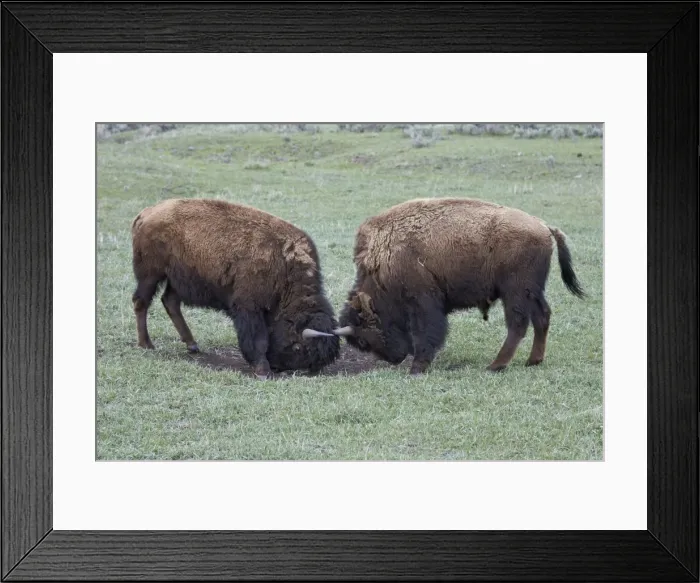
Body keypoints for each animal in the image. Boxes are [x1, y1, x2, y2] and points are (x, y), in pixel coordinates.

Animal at [131, 198, 341, 379]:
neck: (285, 266)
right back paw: (146, 344)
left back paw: (192, 345)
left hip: (179, 279)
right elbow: (258, 339)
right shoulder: (248, 307)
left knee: (170, 302)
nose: (278, 367)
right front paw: (262, 370)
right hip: (151, 274)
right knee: (141, 302)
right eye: (298, 347)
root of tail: (146, 213)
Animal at [335, 197, 586, 374]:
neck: (383, 261)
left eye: (363, 338)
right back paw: (532, 361)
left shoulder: (423, 302)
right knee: (542, 317)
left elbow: (427, 332)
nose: (395, 359)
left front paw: (417, 368)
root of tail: (543, 226)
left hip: (515, 292)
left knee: (518, 324)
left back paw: (495, 366)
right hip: (532, 292)